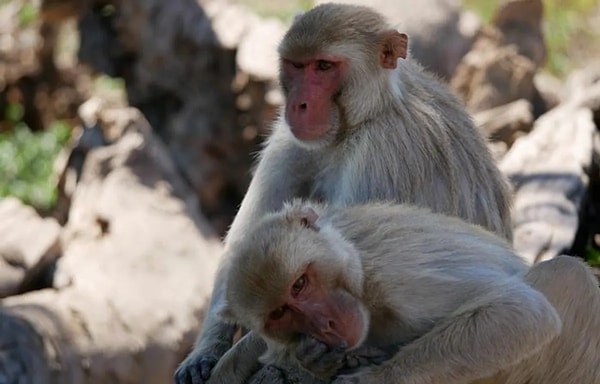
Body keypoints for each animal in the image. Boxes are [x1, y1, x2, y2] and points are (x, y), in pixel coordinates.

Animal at [172, 3, 510, 384]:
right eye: (297, 65)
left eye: (324, 66)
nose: (299, 105)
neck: (365, 116)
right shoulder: (290, 137)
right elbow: (249, 252)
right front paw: (204, 354)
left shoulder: (381, 153)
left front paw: (237, 364)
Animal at [206, 201, 600, 384]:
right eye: (280, 312)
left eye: (299, 284)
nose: (325, 323)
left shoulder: (399, 275)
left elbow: (522, 312)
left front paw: (371, 380)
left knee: (568, 276)